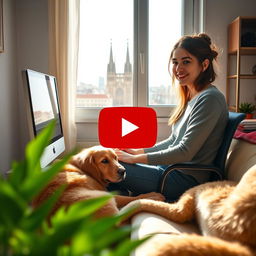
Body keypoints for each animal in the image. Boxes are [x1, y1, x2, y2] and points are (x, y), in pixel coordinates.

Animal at [32, 146, 164, 218]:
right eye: (104, 161)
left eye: (115, 157)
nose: (123, 171)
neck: (80, 168)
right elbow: (131, 198)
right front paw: (152, 195)